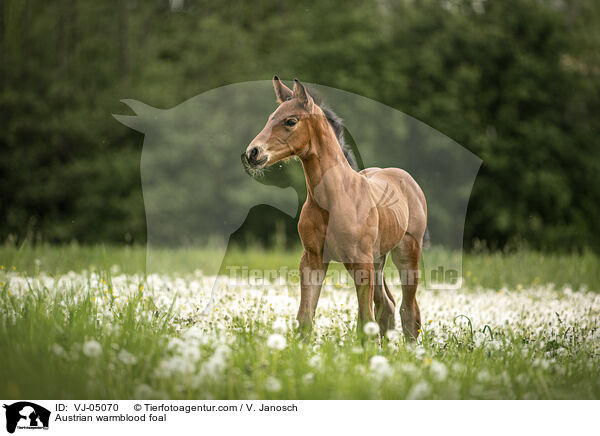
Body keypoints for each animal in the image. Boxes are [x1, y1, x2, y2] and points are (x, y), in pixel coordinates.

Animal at [243, 76, 426, 340]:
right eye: (270, 117)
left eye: (290, 121)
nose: (252, 153)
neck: (334, 198)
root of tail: (405, 178)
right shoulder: (313, 259)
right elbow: (305, 319)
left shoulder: (360, 261)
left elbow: (365, 320)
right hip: (377, 259)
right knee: (388, 307)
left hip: (406, 252)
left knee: (408, 310)